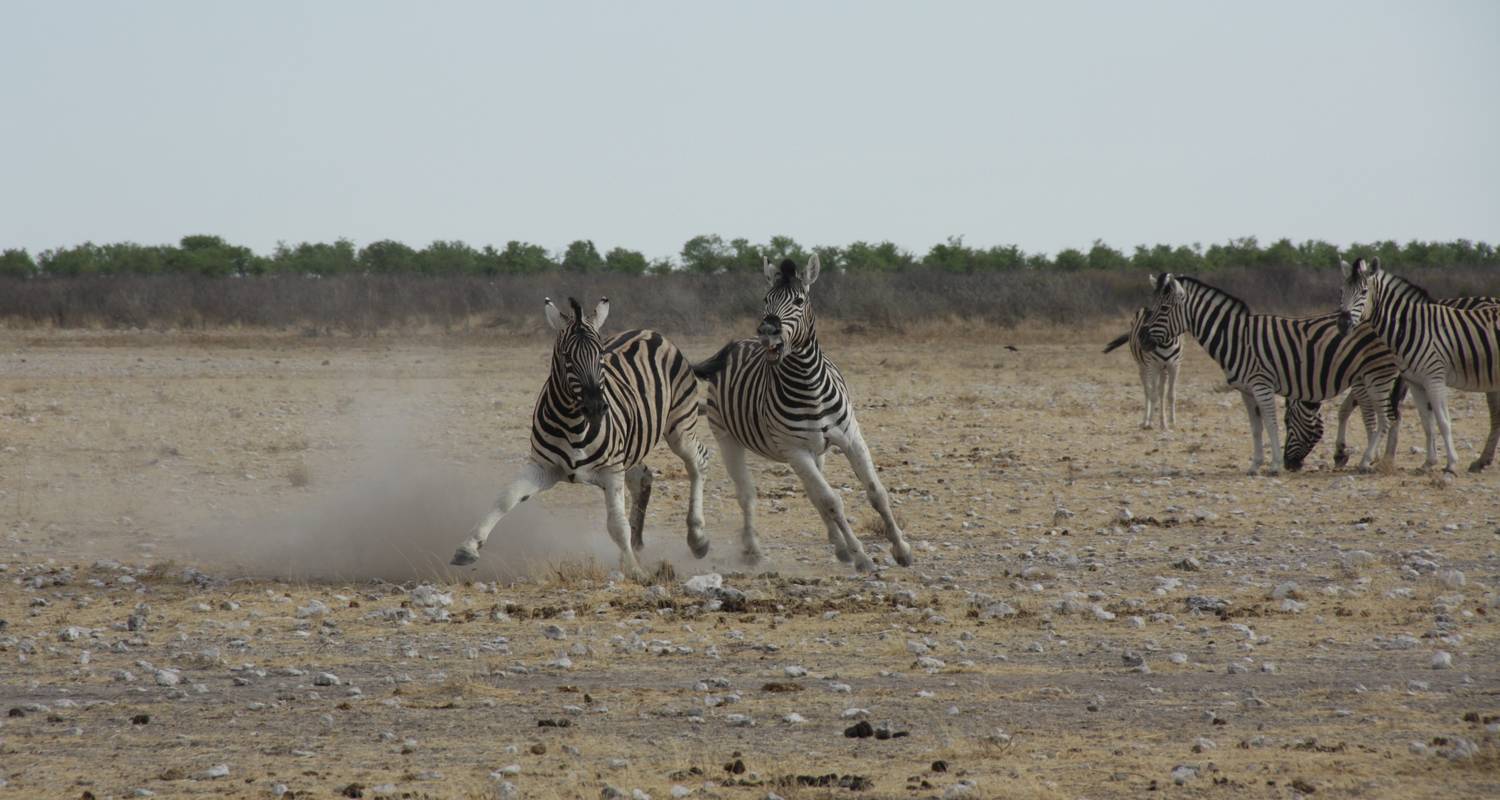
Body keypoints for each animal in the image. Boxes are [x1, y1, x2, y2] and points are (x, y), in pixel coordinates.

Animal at [447, 294, 711, 579]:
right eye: (566, 356)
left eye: (601, 355)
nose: (595, 407)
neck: (573, 422)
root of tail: (650, 332)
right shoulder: (543, 468)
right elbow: (506, 498)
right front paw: (468, 547)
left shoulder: (610, 469)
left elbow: (616, 524)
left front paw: (633, 569)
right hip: (631, 446)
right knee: (642, 477)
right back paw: (638, 543)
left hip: (679, 426)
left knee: (699, 461)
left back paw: (697, 539)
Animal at [693, 255, 912, 567]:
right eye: (765, 299)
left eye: (798, 300)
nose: (767, 332)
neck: (808, 386)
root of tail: (739, 343)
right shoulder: (794, 450)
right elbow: (832, 501)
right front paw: (861, 556)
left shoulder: (851, 437)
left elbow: (876, 492)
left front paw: (901, 548)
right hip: (728, 440)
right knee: (747, 494)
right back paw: (753, 549)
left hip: (815, 451)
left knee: (812, 493)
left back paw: (838, 546)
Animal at [1140, 274, 1410, 474]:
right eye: (1150, 308)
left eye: (1163, 308)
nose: (1142, 339)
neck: (1236, 338)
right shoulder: (1246, 390)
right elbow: (1256, 428)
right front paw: (1255, 465)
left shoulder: (1261, 385)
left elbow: (1269, 423)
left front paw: (1274, 466)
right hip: (1368, 376)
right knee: (1379, 416)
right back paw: (1379, 459)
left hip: (1378, 374)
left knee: (1386, 417)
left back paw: (1369, 462)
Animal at [1338, 258, 1500, 474]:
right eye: (1342, 291)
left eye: (1364, 291)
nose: (1342, 324)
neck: (1411, 327)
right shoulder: (1416, 382)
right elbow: (1426, 422)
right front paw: (1428, 463)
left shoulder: (1434, 378)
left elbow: (1443, 422)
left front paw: (1451, 464)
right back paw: (1481, 461)